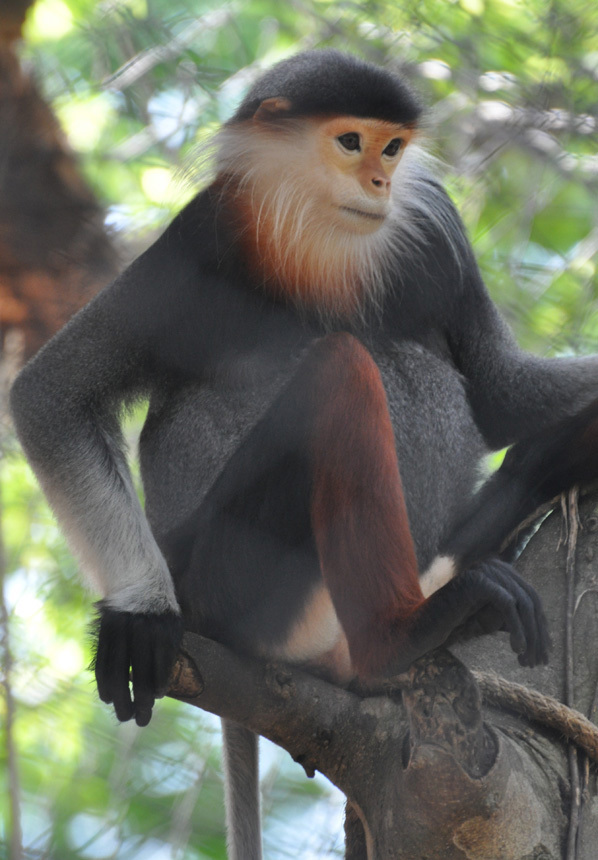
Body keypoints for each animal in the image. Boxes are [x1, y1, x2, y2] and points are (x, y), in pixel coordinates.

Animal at [10, 50, 598, 856]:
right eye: (350, 143)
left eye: (393, 149)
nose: (380, 184)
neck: (321, 240)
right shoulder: (203, 235)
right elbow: (51, 395)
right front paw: (139, 614)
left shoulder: (434, 226)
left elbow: (501, 392)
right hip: (229, 575)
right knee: (343, 367)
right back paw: (405, 634)